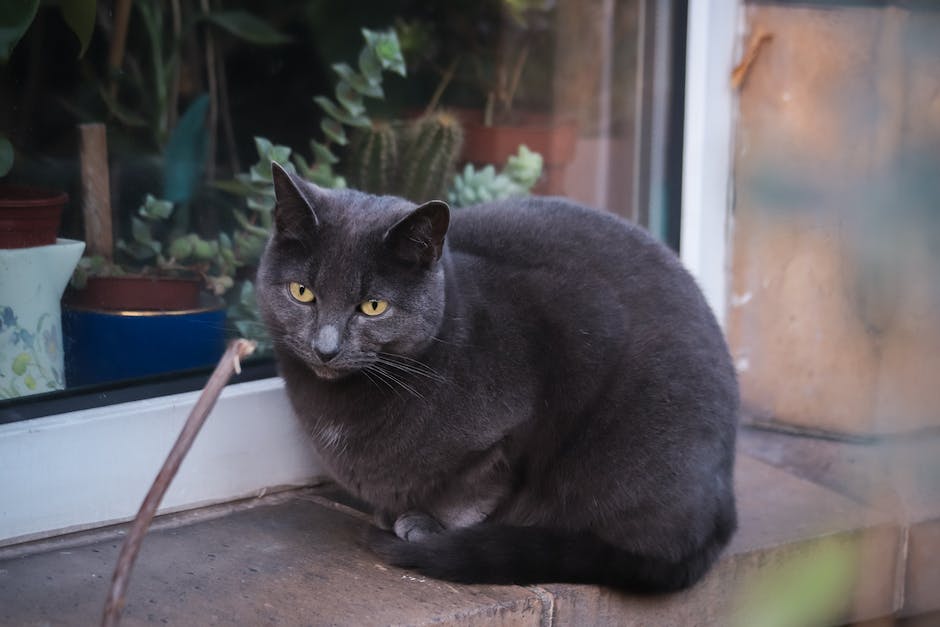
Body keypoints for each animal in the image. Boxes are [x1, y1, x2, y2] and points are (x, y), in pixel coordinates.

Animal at [258, 163, 740, 592]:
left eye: (373, 306)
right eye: (302, 292)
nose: (325, 347)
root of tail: (722, 511)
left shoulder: (520, 417)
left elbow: (474, 489)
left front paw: (426, 523)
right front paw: (393, 511)